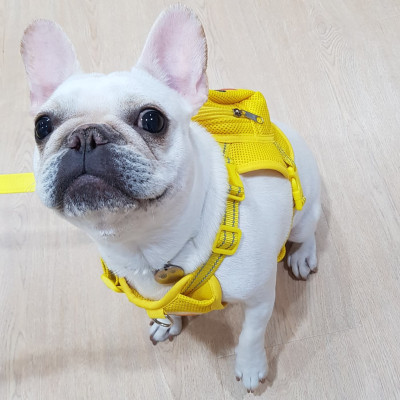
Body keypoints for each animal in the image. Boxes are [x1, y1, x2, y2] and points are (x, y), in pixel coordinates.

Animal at [20, 5, 321, 392]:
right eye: (42, 126)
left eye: (152, 119)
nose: (85, 136)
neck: (146, 247)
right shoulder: (155, 294)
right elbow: (167, 308)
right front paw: (169, 325)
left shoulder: (259, 298)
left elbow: (251, 336)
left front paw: (251, 367)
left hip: (303, 211)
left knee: (307, 231)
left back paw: (302, 256)